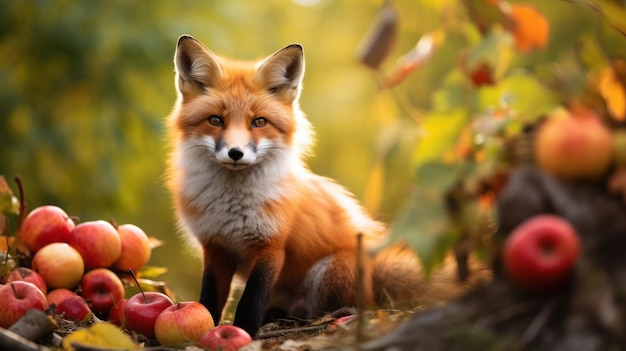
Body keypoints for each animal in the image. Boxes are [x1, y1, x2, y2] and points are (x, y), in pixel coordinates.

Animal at [166, 35, 488, 338]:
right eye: (215, 120)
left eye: (259, 122)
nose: (236, 153)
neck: (231, 206)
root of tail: (375, 269)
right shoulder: (216, 246)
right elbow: (209, 298)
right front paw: (207, 327)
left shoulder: (270, 245)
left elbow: (251, 298)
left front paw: (244, 330)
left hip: (330, 271)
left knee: (336, 309)